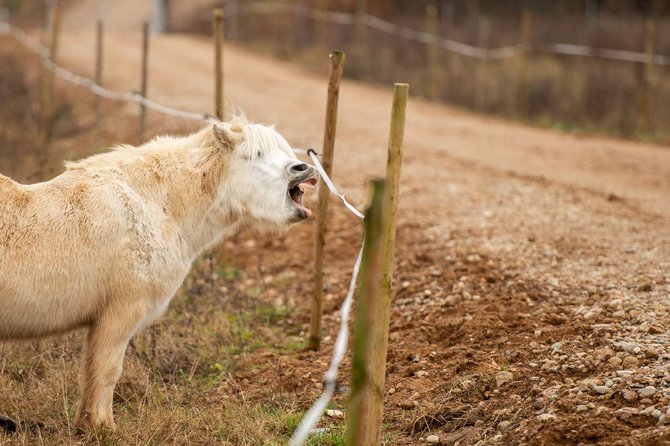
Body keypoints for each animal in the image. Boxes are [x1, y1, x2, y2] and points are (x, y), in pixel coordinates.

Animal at [0, 116, 318, 430]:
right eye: (254, 155)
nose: (303, 169)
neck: (154, 206)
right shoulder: (120, 313)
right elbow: (107, 371)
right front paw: (102, 428)